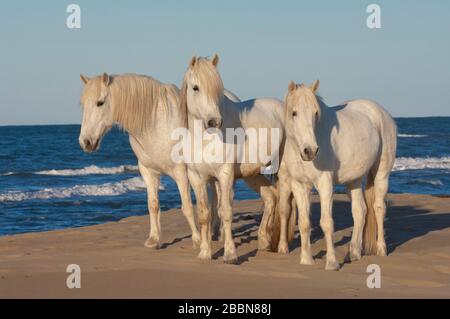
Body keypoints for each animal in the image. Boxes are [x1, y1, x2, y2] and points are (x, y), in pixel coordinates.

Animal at [179, 55, 288, 264]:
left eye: (218, 89)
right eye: (195, 87)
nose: (214, 121)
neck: (204, 140)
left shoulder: (225, 175)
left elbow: (226, 212)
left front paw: (230, 254)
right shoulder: (197, 178)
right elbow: (204, 214)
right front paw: (205, 253)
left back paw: (283, 247)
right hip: (252, 174)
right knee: (271, 197)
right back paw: (264, 240)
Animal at [278, 80, 398, 270]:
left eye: (315, 113)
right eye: (294, 113)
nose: (310, 151)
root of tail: (383, 113)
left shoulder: (325, 184)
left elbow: (327, 223)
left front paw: (332, 263)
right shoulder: (299, 185)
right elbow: (304, 223)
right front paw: (306, 260)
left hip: (381, 174)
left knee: (379, 208)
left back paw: (381, 249)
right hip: (354, 180)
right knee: (360, 211)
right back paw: (353, 253)